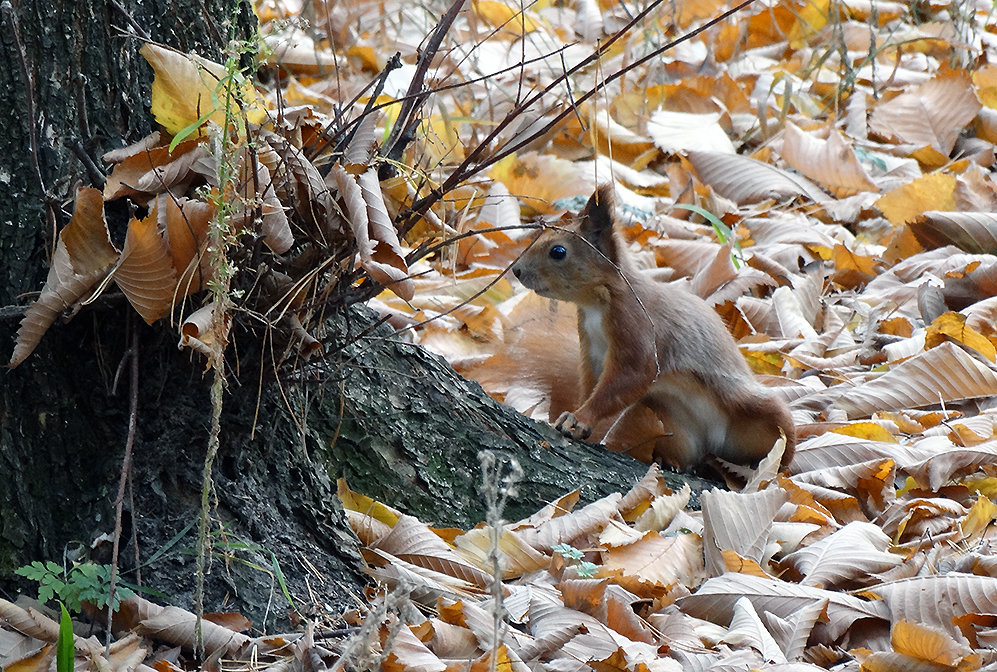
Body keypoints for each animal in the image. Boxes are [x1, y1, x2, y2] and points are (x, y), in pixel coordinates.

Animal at [512, 186, 792, 470]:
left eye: (558, 251)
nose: (517, 271)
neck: (598, 304)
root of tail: (714, 444)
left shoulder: (638, 326)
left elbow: (634, 375)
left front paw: (579, 418)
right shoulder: (590, 348)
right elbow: (592, 384)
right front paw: (577, 416)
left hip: (757, 410)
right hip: (667, 421)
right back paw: (670, 460)